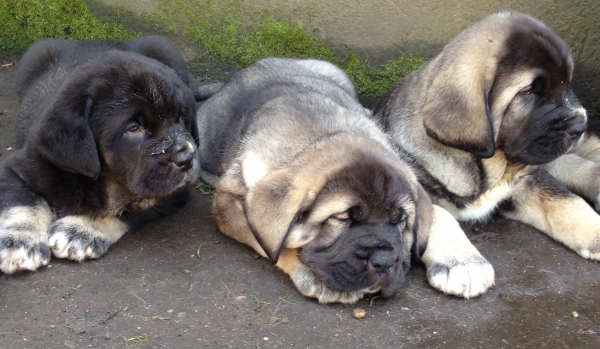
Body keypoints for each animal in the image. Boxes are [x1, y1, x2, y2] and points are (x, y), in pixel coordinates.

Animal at [0, 34, 199, 272]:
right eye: (133, 128)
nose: (187, 159)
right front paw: (20, 240)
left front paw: (81, 231)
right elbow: (24, 202)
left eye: (180, 118)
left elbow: (129, 207)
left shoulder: (171, 192)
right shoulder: (17, 167)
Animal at [195, 57, 494, 302]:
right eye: (343, 219)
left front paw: (462, 259)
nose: (384, 261)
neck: (324, 134)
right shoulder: (229, 202)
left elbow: (439, 213)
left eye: (399, 221)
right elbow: (276, 245)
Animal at [372, 10, 596, 260]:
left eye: (566, 84)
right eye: (528, 92)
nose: (580, 125)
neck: (486, 167)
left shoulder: (527, 178)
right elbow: (437, 214)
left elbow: (566, 199)